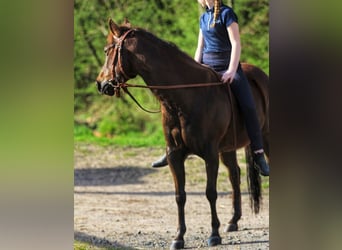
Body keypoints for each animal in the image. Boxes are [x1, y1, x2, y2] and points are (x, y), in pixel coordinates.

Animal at [95, 19, 268, 250]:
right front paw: (179, 237)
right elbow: (180, 195)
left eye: (107, 51)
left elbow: (210, 192)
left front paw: (214, 234)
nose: (101, 84)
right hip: (228, 148)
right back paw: (233, 221)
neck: (185, 97)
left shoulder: (210, 154)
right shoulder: (175, 155)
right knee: (235, 174)